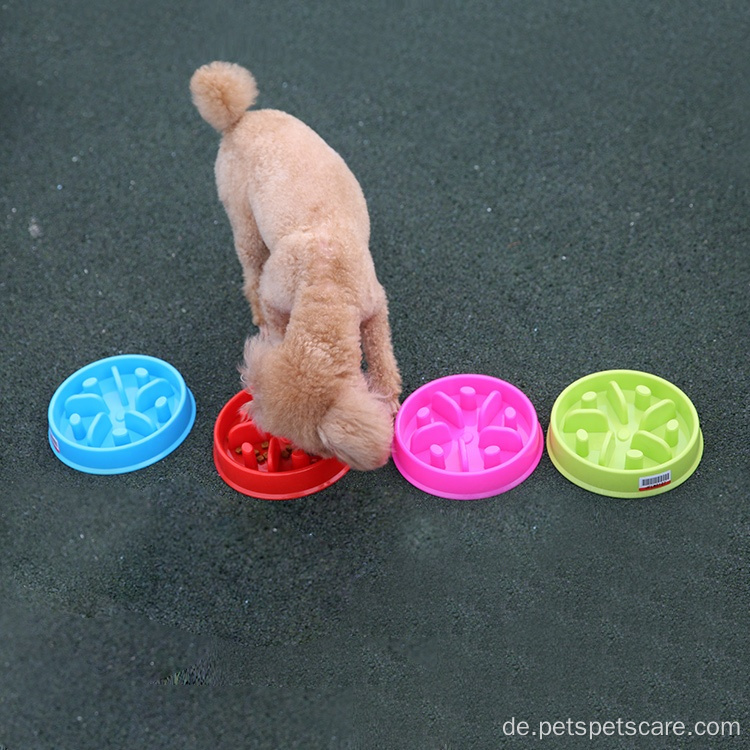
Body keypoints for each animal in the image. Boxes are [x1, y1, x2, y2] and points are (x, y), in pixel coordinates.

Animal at [191, 61, 402, 470]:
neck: (325, 287)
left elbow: (382, 355)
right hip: (244, 221)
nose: (297, 454)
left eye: (317, 447)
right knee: (251, 276)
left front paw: (388, 398)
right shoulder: (278, 296)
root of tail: (239, 119)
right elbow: (274, 323)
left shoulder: (374, 307)